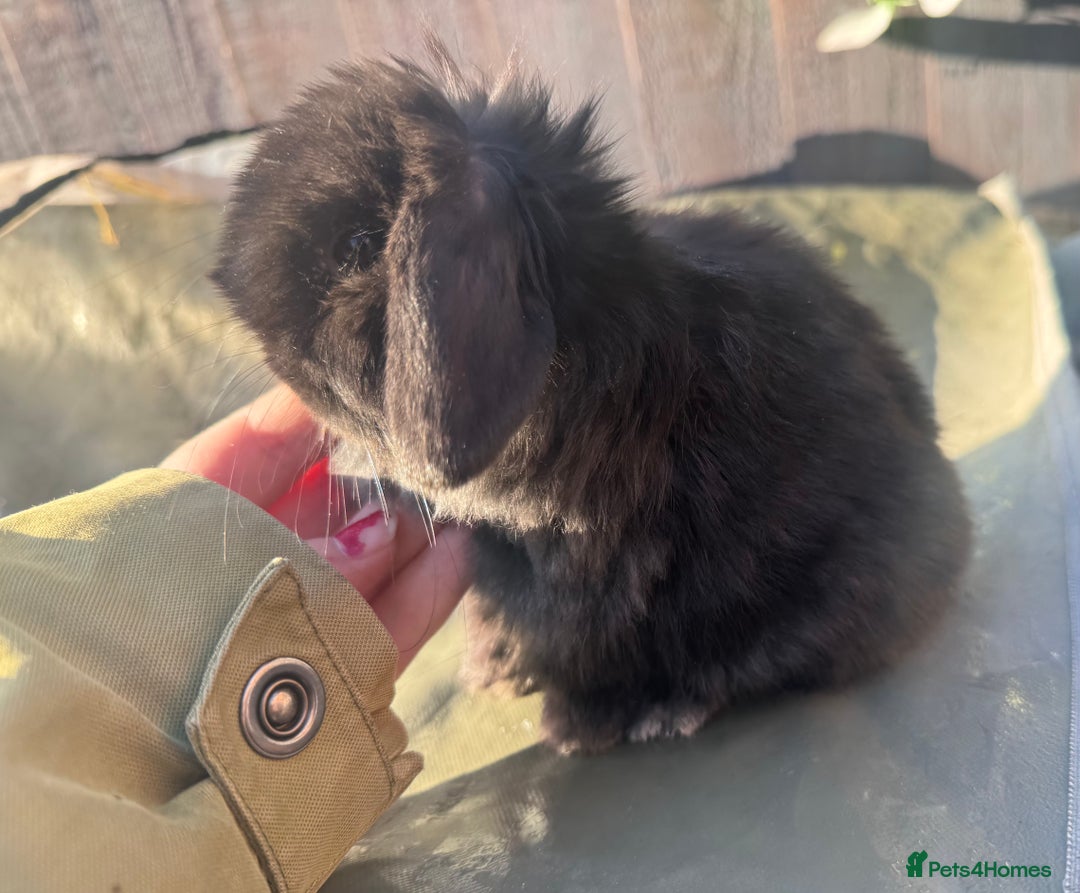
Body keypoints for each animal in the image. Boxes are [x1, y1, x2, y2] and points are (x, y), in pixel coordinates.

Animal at [213, 43, 972, 754]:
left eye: (358, 244)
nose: (272, 353)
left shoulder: (594, 568)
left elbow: (584, 641)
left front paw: (573, 724)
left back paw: (663, 708)